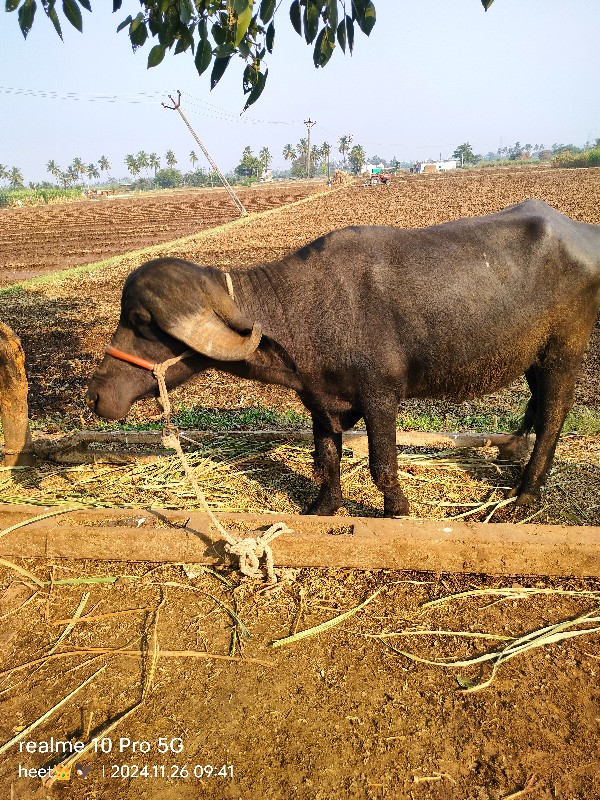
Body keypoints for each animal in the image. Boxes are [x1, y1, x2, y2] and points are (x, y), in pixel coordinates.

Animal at [86, 198, 596, 512]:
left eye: (141, 321)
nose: (95, 396)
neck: (301, 309)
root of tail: (580, 232)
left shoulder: (381, 396)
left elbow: (381, 465)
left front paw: (397, 509)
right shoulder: (320, 400)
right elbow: (326, 458)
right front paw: (324, 506)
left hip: (564, 350)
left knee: (554, 411)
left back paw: (527, 492)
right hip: (534, 359)